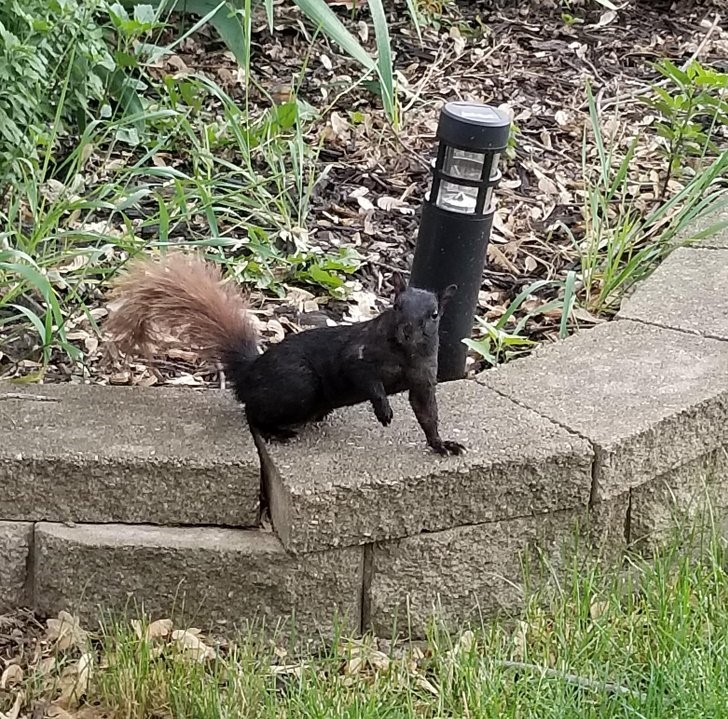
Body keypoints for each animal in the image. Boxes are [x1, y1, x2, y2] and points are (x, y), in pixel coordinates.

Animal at [104, 252, 465, 456]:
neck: (404, 353)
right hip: (298, 385)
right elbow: (366, 378)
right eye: (396, 306)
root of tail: (249, 372)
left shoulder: (423, 378)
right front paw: (384, 411)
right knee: (252, 413)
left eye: (434, 315)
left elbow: (426, 413)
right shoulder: (358, 355)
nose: (406, 330)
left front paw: (442, 444)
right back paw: (275, 432)